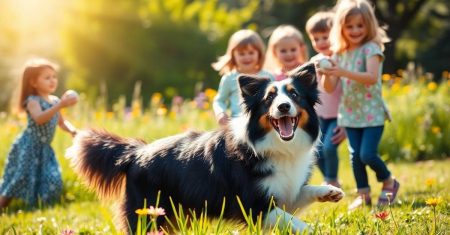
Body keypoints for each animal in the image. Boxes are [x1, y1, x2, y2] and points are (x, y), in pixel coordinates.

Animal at [67, 62, 344, 233]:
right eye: (269, 98)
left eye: (295, 95)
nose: (284, 107)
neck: (276, 146)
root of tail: (135, 152)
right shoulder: (252, 204)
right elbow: (291, 220)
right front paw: (313, 229)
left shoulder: (282, 192)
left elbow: (300, 195)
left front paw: (329, 191)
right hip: (146, 211)